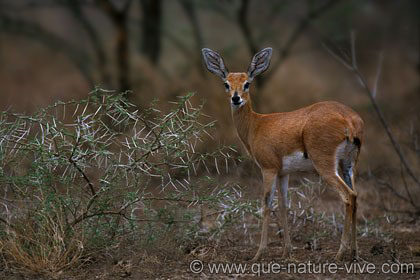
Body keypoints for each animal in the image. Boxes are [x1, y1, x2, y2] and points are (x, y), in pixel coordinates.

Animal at [202, 47, 362, 262]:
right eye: (226, 83)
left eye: (247, 83)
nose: (236, 98)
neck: (256, 125)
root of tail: (348, 120)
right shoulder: (283, 173)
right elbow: (284, 205)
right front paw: (287, 250)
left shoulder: (268, 169)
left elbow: (267, 204)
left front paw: (259, 253)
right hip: (348, 165)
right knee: (356, 197)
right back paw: (354, 252)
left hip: (326, 166)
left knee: (348, 196)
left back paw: (339, 253)